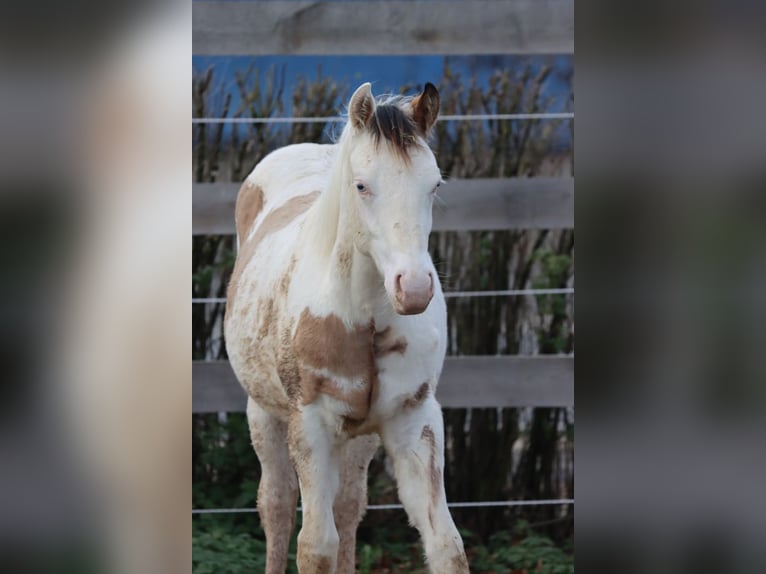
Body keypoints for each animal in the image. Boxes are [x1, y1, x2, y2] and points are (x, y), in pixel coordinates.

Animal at [224, 82, 469, 573]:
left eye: (434, 184)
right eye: (361, 186)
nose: (414, 288)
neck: (363, 317)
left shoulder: (415, 419)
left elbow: (446, 545)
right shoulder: (310, 424)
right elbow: (315, 546)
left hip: (360, 437)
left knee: (349, 506)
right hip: (263, 413)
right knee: (277, 505)